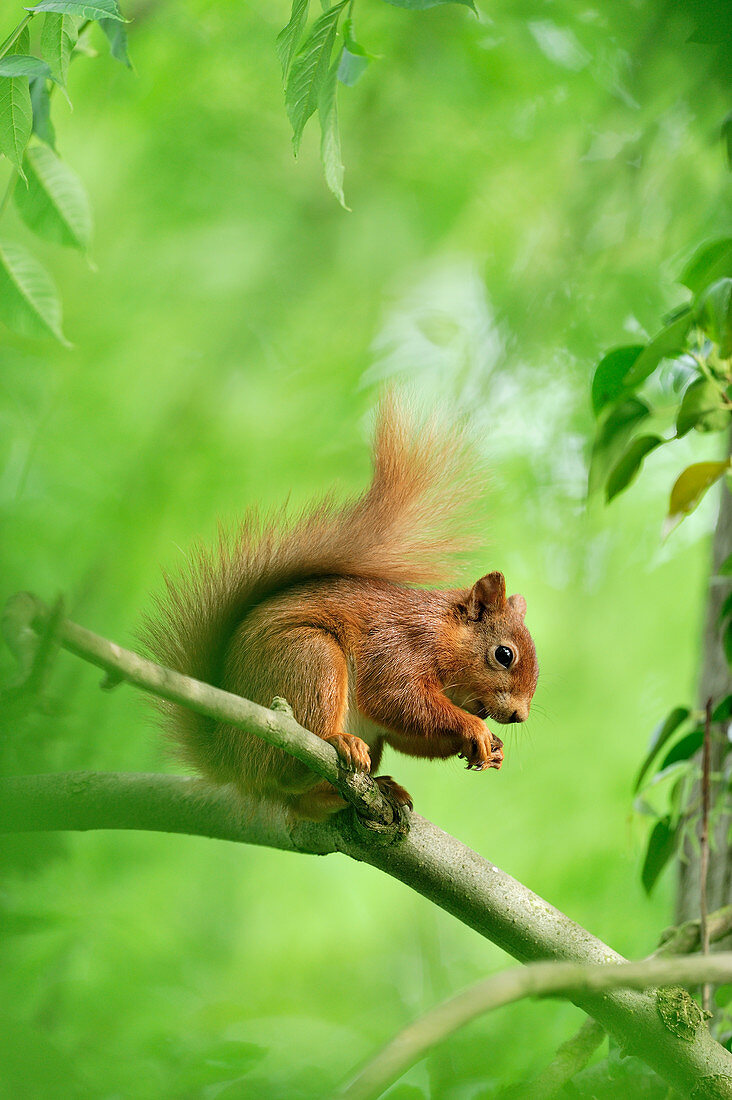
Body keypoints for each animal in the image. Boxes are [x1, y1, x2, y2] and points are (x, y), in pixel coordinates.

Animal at [143, 400, 539, 822]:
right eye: (504, 654)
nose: (519, 716)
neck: (441, 634)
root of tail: (230, 760)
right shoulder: (400, 647)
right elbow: (397, 700)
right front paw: (474, 728)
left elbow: (407, 733)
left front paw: (492, 747)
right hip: (309, 660)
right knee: (287, 765)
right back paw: (336, 743)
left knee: (301, 799)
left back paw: (365, 790)